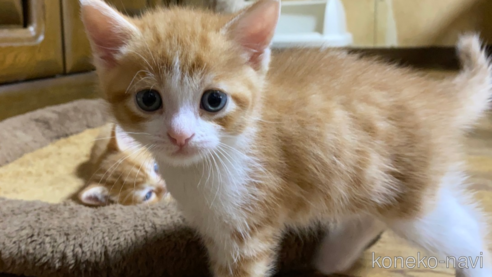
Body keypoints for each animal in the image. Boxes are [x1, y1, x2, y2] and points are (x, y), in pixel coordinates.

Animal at [80, 0, 492, 274]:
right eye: (148, 99)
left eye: (214, 100)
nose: (180, 135)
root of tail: (432, 93)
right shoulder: (217, 232)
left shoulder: (250, 230)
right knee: (373, 215)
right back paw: (333, 255)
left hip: (417, 200)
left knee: (469, 233)